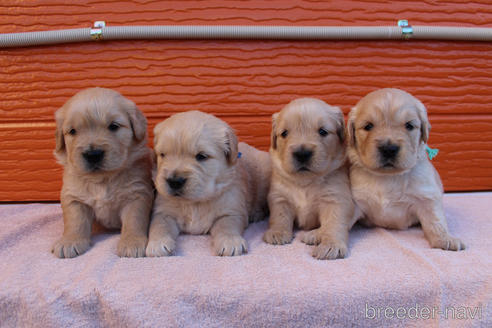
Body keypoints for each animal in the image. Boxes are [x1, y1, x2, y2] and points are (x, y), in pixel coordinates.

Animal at [146, 111, 270, 258]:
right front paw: (157, 243)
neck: (195, 203)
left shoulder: (231, 211)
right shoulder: (163, 211)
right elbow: (159, 225)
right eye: (163, 155)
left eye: (201, 156)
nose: (174, 181)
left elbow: (226, 225)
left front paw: (230, 241)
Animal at [262, 97, 354, 258]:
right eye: (284, 133)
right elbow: (279, 216)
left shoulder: (335, 199)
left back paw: (315, 235)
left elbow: (334, 223)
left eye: (323, 131)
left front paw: (331, 245)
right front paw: (277, 232)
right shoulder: (279, 196)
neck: (305, 181)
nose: (302, 153)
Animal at [346, 88, 466, 250]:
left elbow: (435, 221)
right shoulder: (356, 201)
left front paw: (445, 239)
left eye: (409, 125)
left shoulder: (427, 197)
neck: (388, 178)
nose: (389, 149)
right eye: (368, 126)